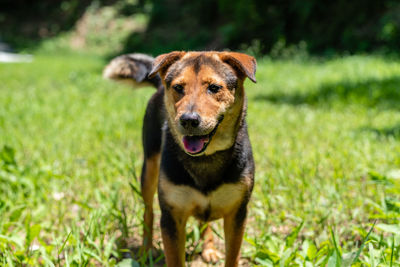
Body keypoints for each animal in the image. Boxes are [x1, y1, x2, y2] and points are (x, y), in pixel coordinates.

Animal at [104, 51, 256, 266]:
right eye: (178, 88)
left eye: (214, 88)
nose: (189, 120)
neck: (205, 158)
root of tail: (160, 85)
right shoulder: (172, 215)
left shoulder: (237, 214)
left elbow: (232, 257)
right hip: (149, 169)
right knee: (148, 211)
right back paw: (146, 250)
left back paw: (208, 249)